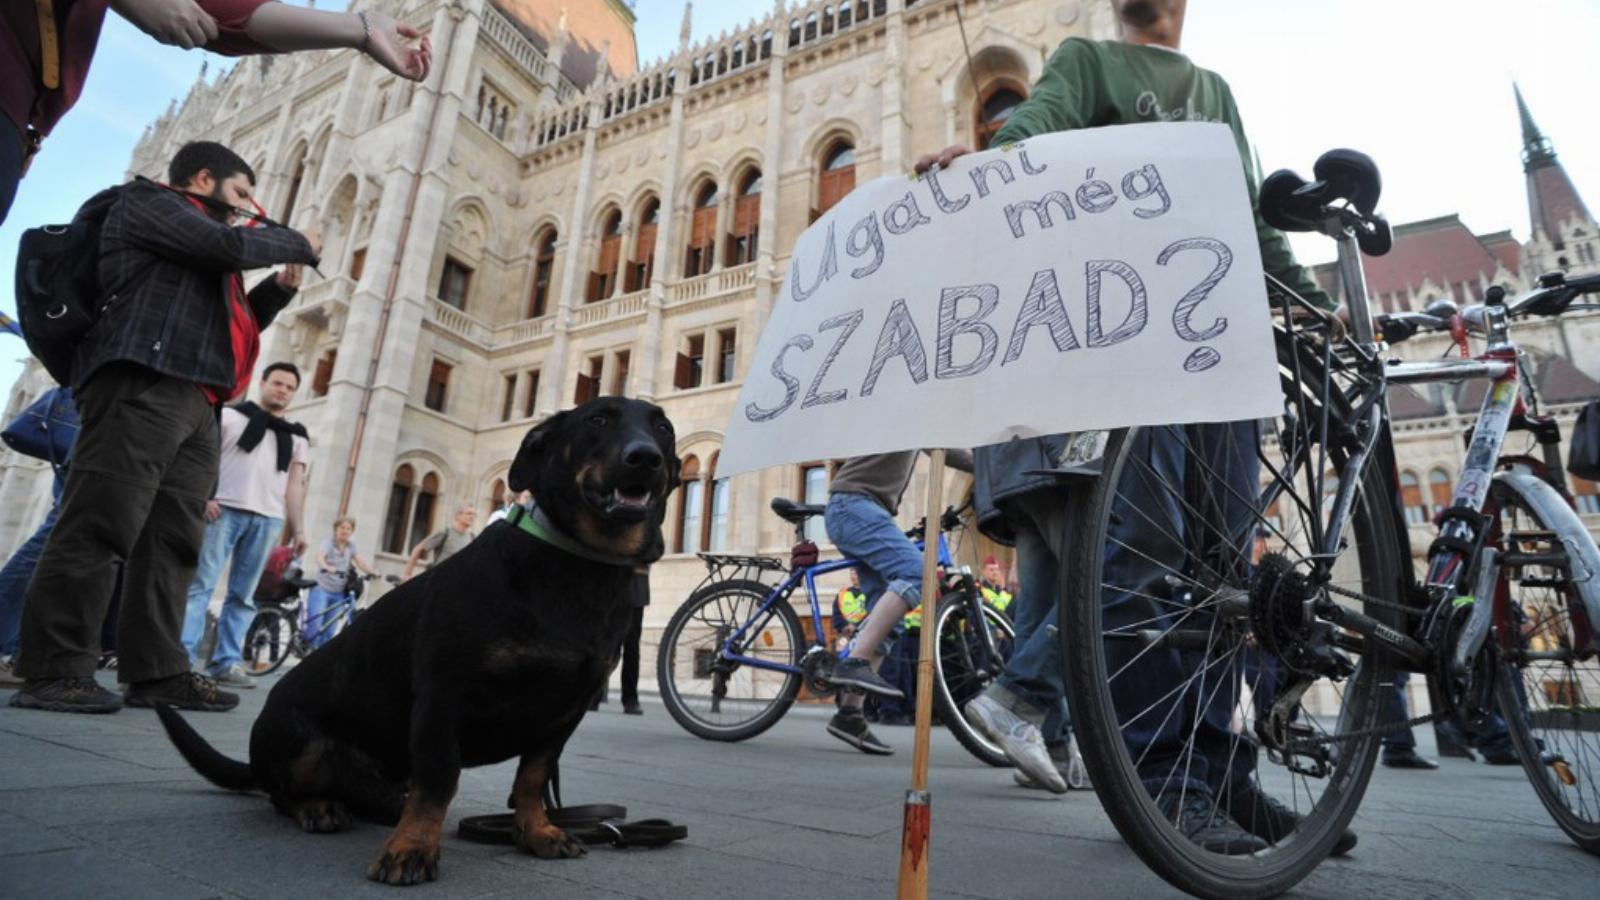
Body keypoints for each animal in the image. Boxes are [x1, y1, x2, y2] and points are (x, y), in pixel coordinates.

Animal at [162, 397, 681, 883]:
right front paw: (411, 847)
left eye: (662, 426)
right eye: (598, 419)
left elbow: (532, 779)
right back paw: (318, 807)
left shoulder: (562, 716)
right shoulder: (442, 699)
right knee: (281, 795)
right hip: (295, 738)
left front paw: (536, 831)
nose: (645, 457)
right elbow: (439, 782)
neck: (575, 566)